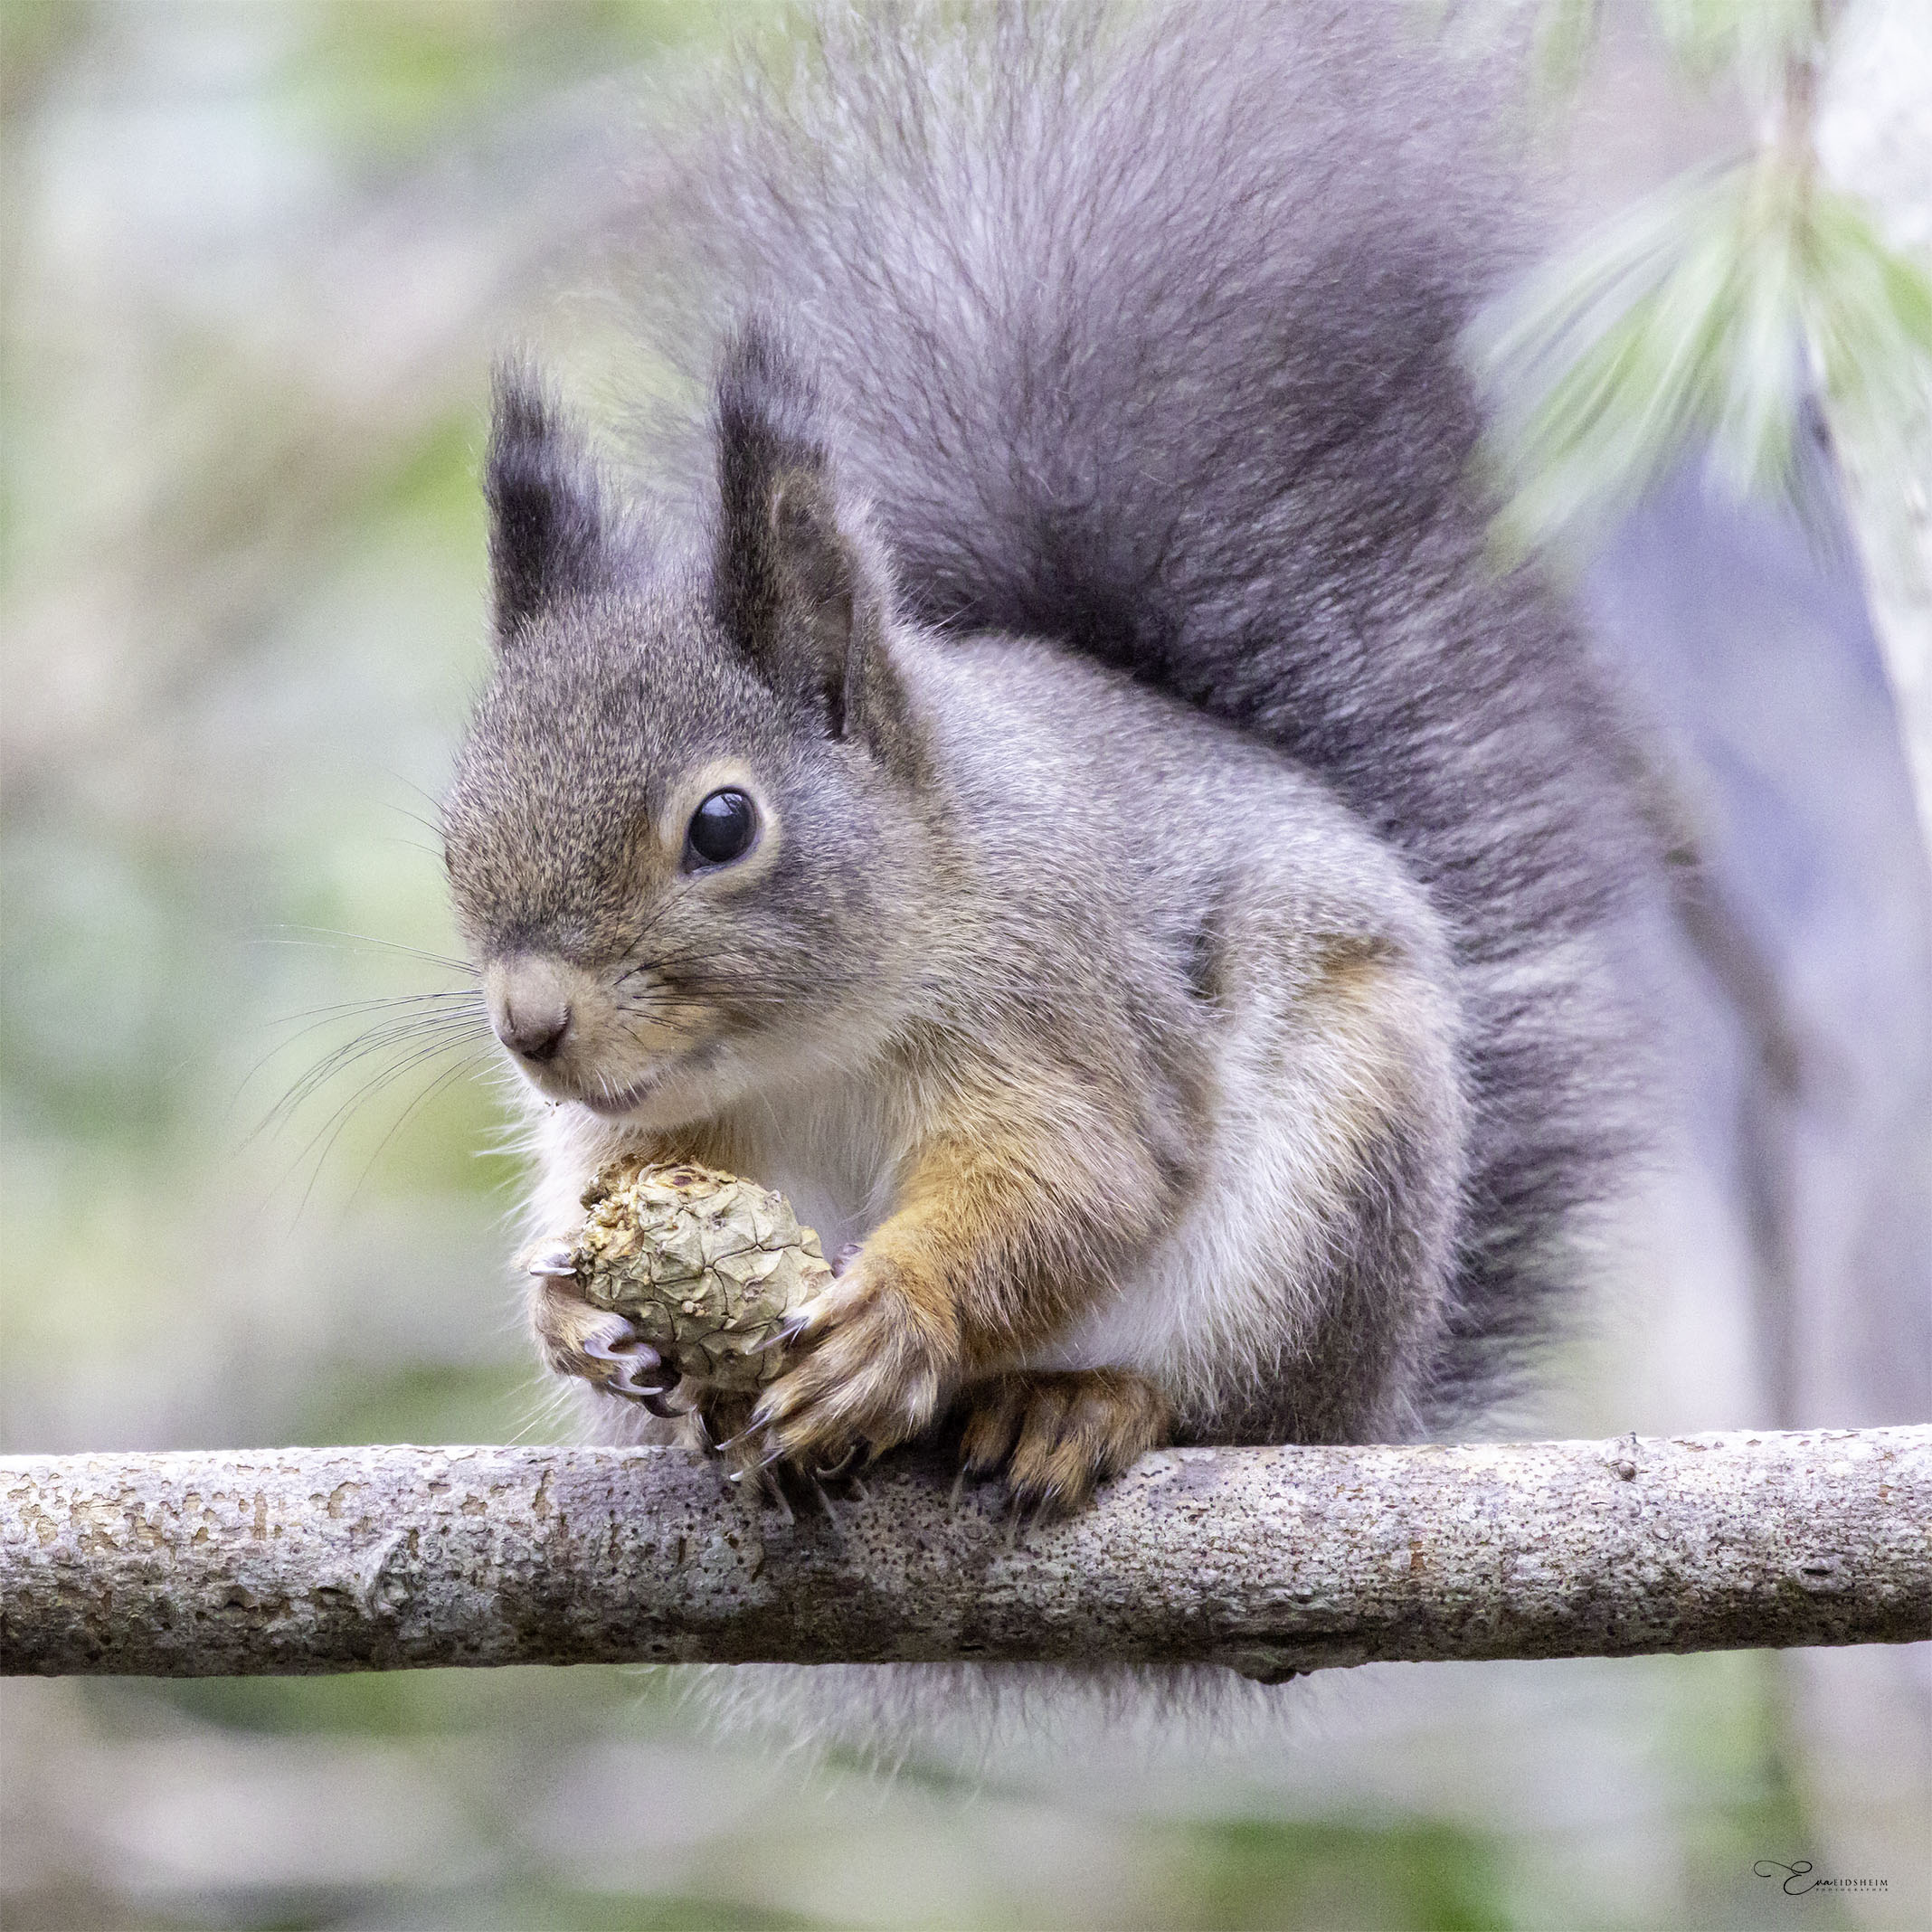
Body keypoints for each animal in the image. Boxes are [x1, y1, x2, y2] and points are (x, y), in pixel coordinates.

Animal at [441, 1, 1658, 1515]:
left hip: (1328, 1200)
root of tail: (1383, 1396)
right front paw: (576, 1309)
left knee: (1231, 1407)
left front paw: (896, 1320)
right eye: (456, 817)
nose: (530, 1025)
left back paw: (1078, 1405)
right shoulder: (658, 1127)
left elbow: (1074, 1177)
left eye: (721, 826)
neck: (808, 1047)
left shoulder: (1057, 999)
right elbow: (606, 1177)